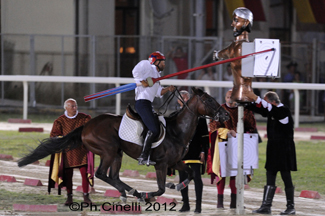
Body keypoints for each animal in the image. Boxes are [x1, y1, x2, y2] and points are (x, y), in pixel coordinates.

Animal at [17, 87, 229, 202]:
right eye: (209, 100)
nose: (225, 115)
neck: (176, 131)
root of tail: (86, 125)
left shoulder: (175, 162)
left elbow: (190, 174)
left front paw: (175, 184)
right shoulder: (161, 164)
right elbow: (160, 188)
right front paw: (150, 194)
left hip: (117, 153)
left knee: (113, 176)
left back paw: (130, 192)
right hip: (109, 151)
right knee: (102, 174)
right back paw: (136, 193)